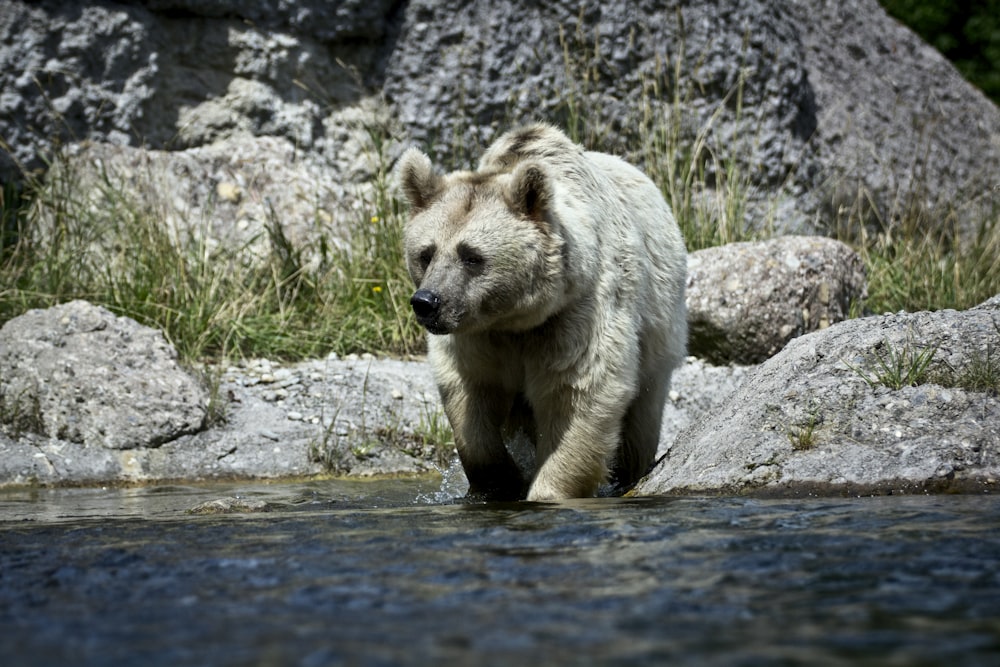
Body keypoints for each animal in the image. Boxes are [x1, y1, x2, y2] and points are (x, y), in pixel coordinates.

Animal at [398, 124, 688, 500]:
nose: (426, 302)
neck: (515, 318)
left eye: (472, 256)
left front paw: (546, 489)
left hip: (658, 336)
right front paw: (501, 480)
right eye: (426, 253)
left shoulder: (575, 314)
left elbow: (579, 394)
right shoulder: (476, 337)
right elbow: (470, 399)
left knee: (641, 420)